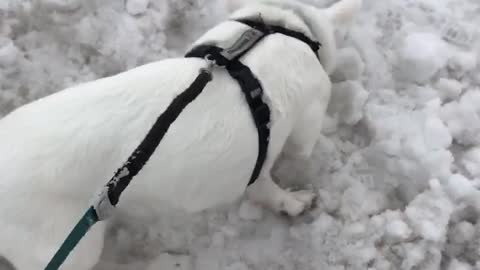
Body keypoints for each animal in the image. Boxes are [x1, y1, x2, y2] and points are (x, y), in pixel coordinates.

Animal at [0, 0, 360, 268]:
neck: (277, 28)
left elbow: (261, 185)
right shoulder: (307, 113)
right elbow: (284, 169)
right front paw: (295, 202)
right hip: (69, 247)